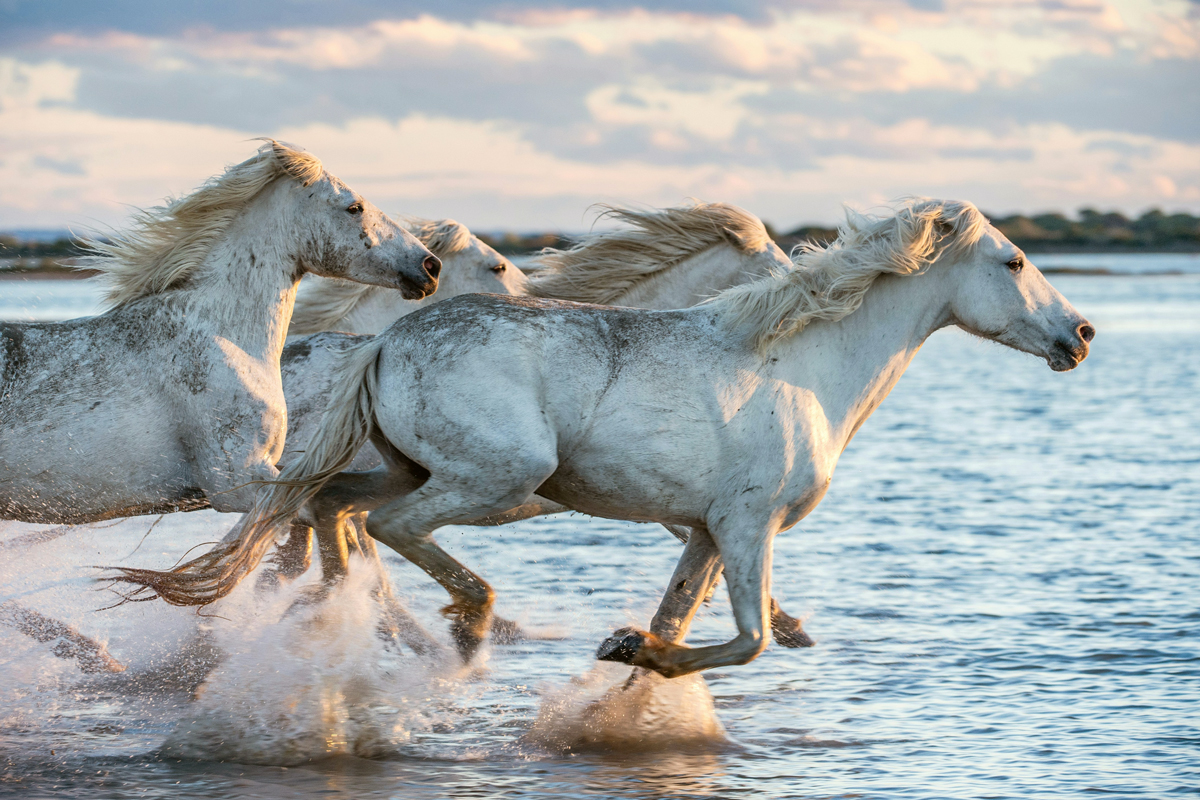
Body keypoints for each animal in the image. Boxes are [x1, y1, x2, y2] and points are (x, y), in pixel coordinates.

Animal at [114, 197, 1094, 678]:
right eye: (1013, 261)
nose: (1079, 335)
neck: (801, 367)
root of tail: (387, 339)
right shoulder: (747, 526)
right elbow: (748, 638)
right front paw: (636, 650)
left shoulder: (701, 531)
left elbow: (689, 614)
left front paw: (641, 656)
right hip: (496, 477)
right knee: (384, 531)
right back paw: (465, 623)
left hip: (405, 469)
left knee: (330, 510)